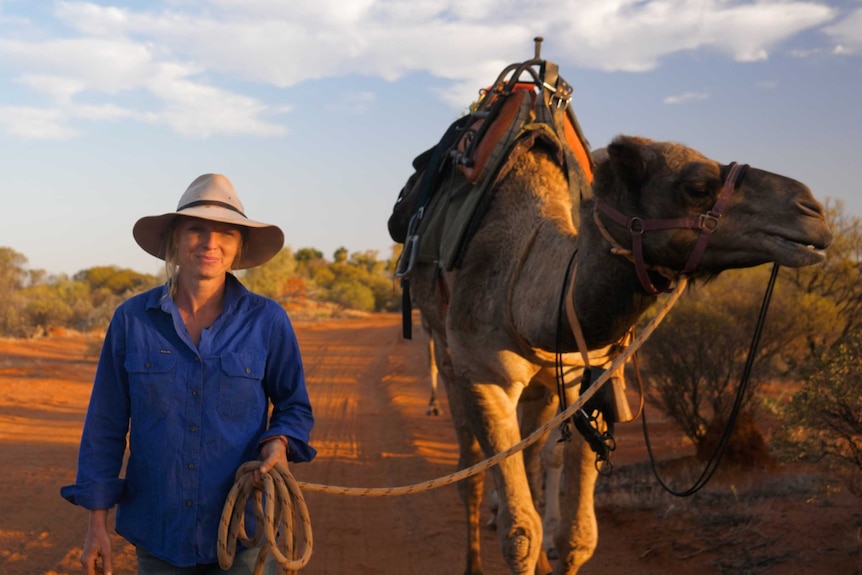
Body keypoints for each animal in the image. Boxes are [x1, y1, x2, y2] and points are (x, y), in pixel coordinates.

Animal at [408, 133, 832, 572]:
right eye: (697, 188)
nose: (812, 211)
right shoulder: (483, 376)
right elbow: (519, 533)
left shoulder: (581, 379)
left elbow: (578, 535)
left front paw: (558, 547)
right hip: (444, 347)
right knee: (471, 470)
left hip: (541, 386)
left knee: (530, 455)